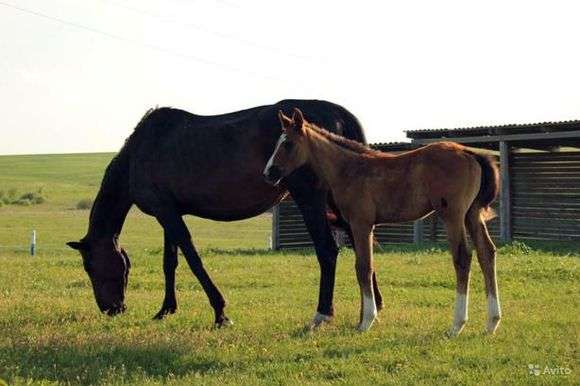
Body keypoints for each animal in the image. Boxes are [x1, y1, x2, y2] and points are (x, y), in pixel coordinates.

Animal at [65, 99, 370, 326]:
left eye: (89, 266)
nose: (111, 308)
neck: (140, 153)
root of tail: (338, 114)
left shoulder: (167, 213)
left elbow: (193, 259)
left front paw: (220, 313)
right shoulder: (168, 211)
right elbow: (169, 262)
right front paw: (165, 310)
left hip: (311, 199)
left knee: (328, 251)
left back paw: (323, 314)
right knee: (359, 245)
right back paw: (369, 309)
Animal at [266, 108, 500, 334]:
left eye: (287, 143)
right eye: (277, 142)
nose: (269, 172)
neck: (348, 170)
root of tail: (468, 152)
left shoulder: (361, 224)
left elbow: (363, 267)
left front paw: (366, 321)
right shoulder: (363, 226)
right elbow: (367, 266)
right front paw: (366, 318)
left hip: (453, 215)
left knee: (463, 257)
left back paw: (457, 325)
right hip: (472, 214)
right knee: (486, 253)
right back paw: (492, 322)